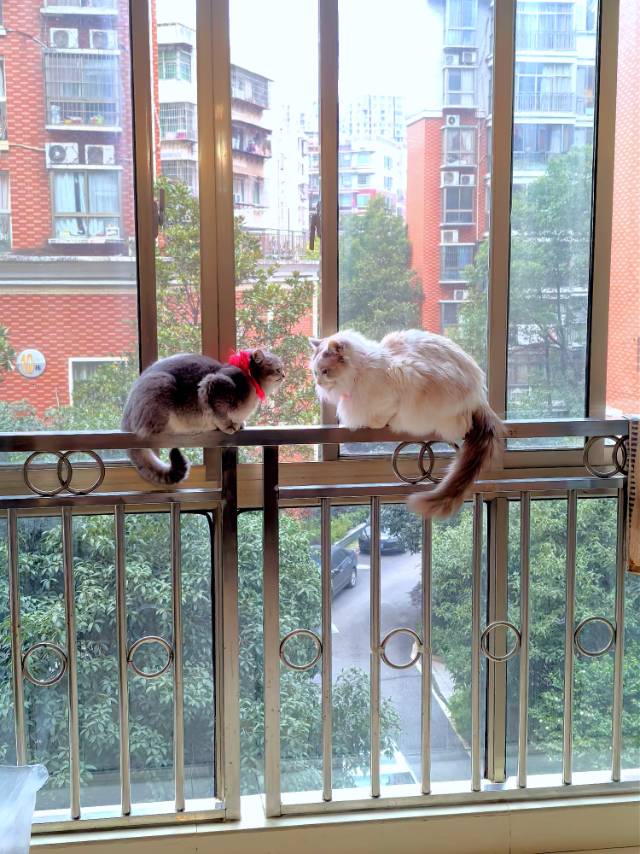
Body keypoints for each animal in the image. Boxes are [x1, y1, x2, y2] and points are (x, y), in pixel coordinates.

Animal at [122, 348, 284, 485]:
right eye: (278, 369)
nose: (284, 375)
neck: (249, 379)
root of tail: (125, 419)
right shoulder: (214, 385)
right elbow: (220, 415)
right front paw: (229, 426)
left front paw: (240, 423)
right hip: (162, 385)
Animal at [310, 329, 503, 518]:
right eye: (315, 373)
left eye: (325, 371)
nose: (318, 382)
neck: (360, 371)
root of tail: (479, 396)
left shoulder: (398, 384)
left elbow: (382, 416)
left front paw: (375, 423)